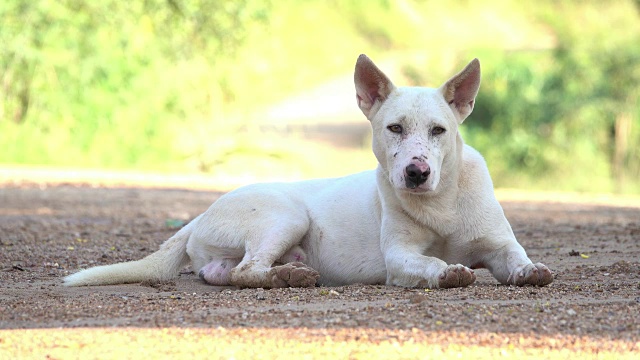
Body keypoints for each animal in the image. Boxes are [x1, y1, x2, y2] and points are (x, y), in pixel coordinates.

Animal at [66, 54, 556, 290]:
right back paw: (287, 277)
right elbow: (429, 262)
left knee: (226, 272)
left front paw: (530, 270)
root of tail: (201, 214)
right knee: (246, 272)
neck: (442, 203)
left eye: (439, 130)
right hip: (286, 216)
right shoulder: (400, 257)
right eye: (394, 128)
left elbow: (517, 259)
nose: (416, 173)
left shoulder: (499, 244)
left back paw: (286, 273)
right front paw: (447, 271)